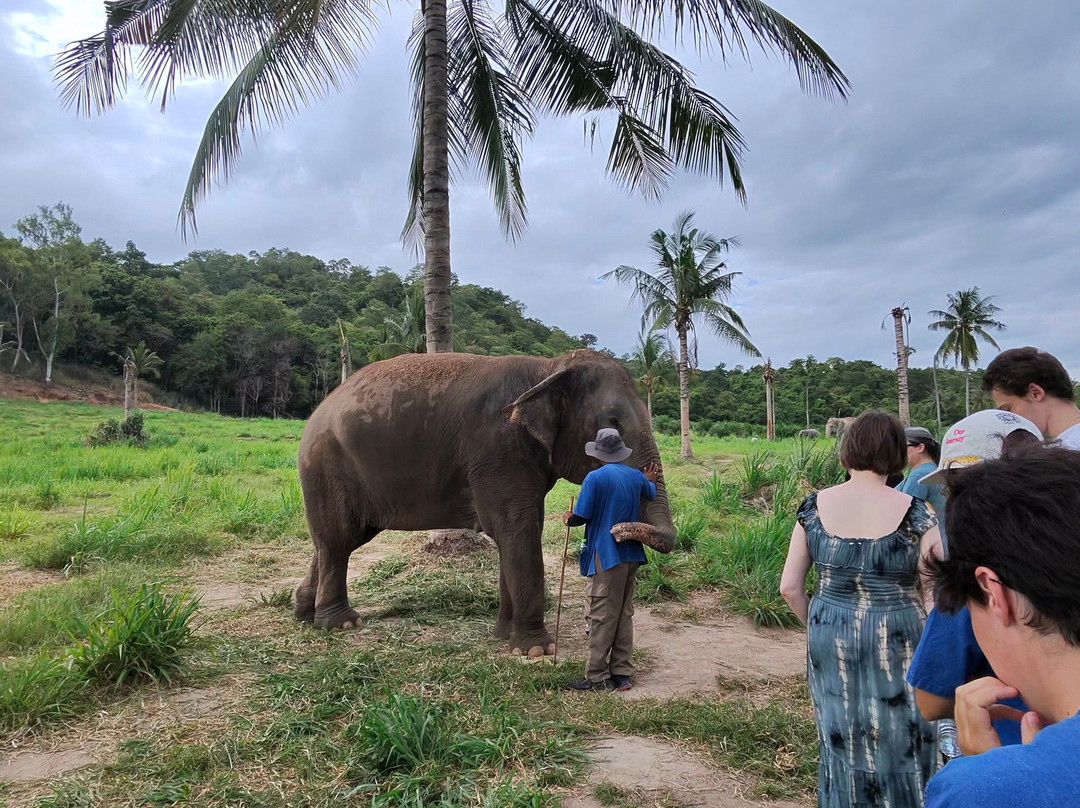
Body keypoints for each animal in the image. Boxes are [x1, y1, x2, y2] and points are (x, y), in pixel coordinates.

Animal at [295, 349, 676, 658]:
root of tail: (318, 410)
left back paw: (303, 613)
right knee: (339, 540)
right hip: (327, 466)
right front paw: (536, 650)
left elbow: (516, 535)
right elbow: (516, 531)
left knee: (336, 540)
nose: (619, 531)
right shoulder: (497, 452)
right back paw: (340, 625)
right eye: (612, 425)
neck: (548, 367)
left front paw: (503, 636)